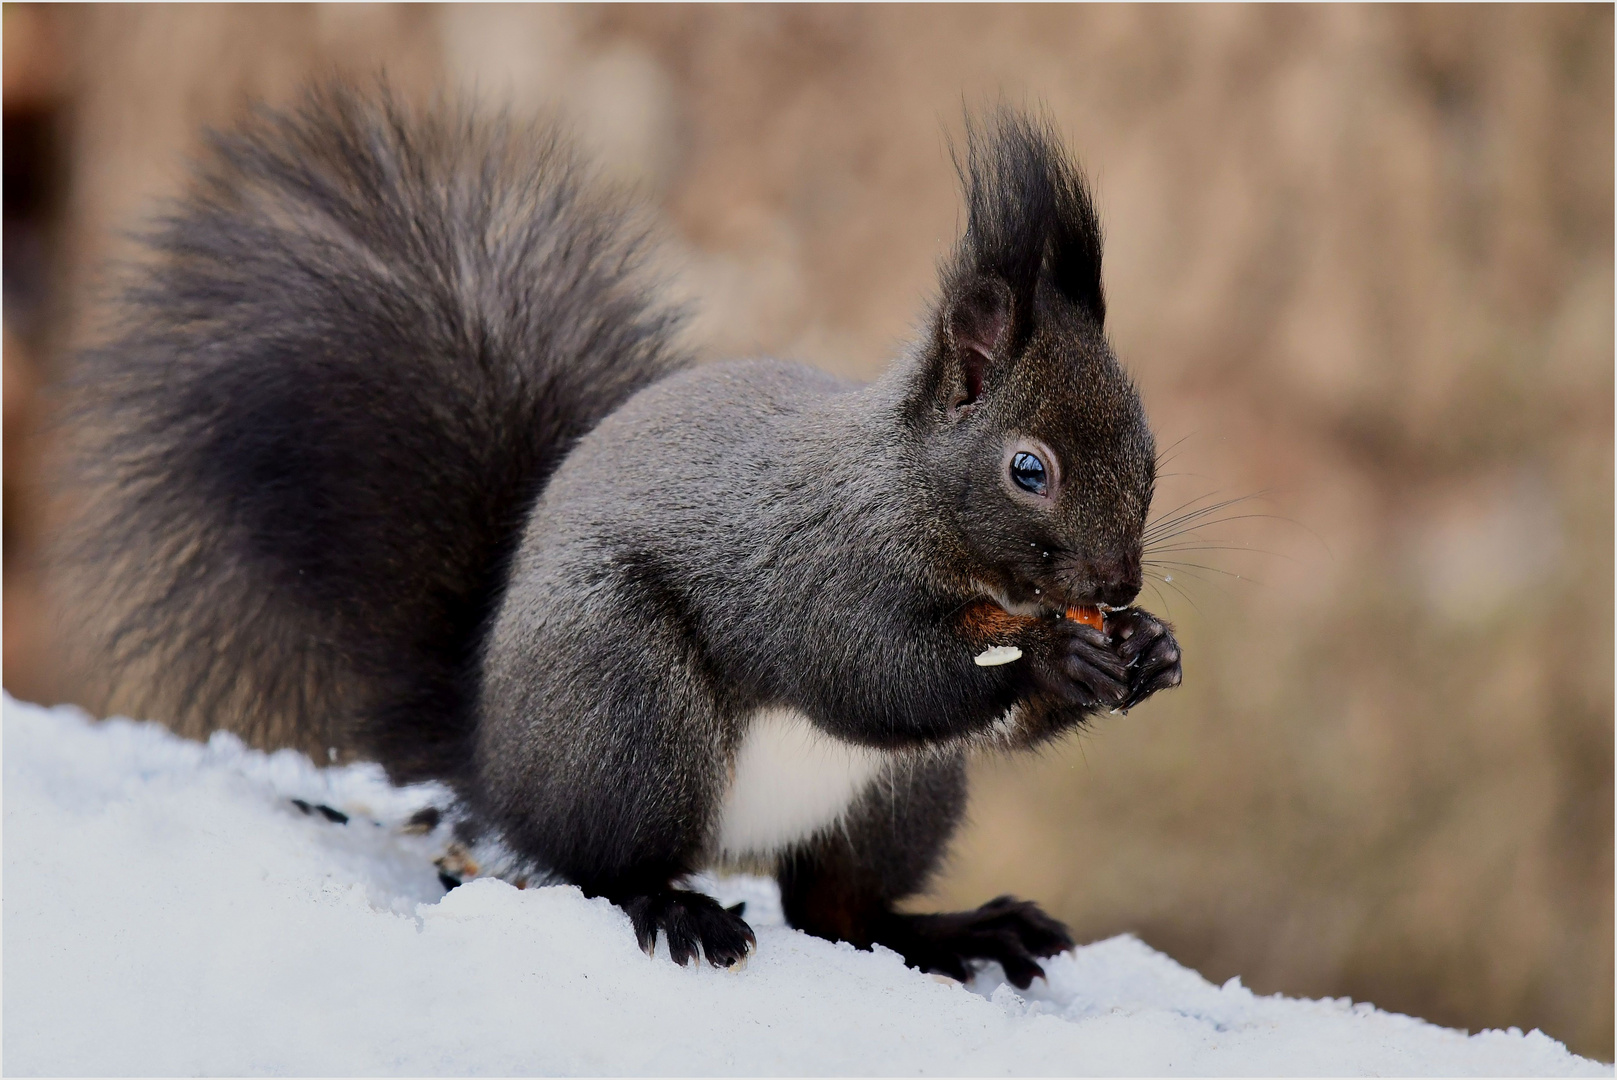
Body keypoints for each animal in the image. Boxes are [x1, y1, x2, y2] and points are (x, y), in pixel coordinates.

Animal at [63, 86, 1183, 989]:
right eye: (1028, 469)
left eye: (1151, 451)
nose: (1116, 583)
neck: (915, 497)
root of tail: (493, 757)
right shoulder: (817, 561)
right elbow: (874, 671)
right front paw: (1054, 652)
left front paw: (1148, 653)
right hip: (625, 703)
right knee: (601, 867)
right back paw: (676, 909)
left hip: (901, 796)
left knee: (839, 909)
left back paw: (958, 932)